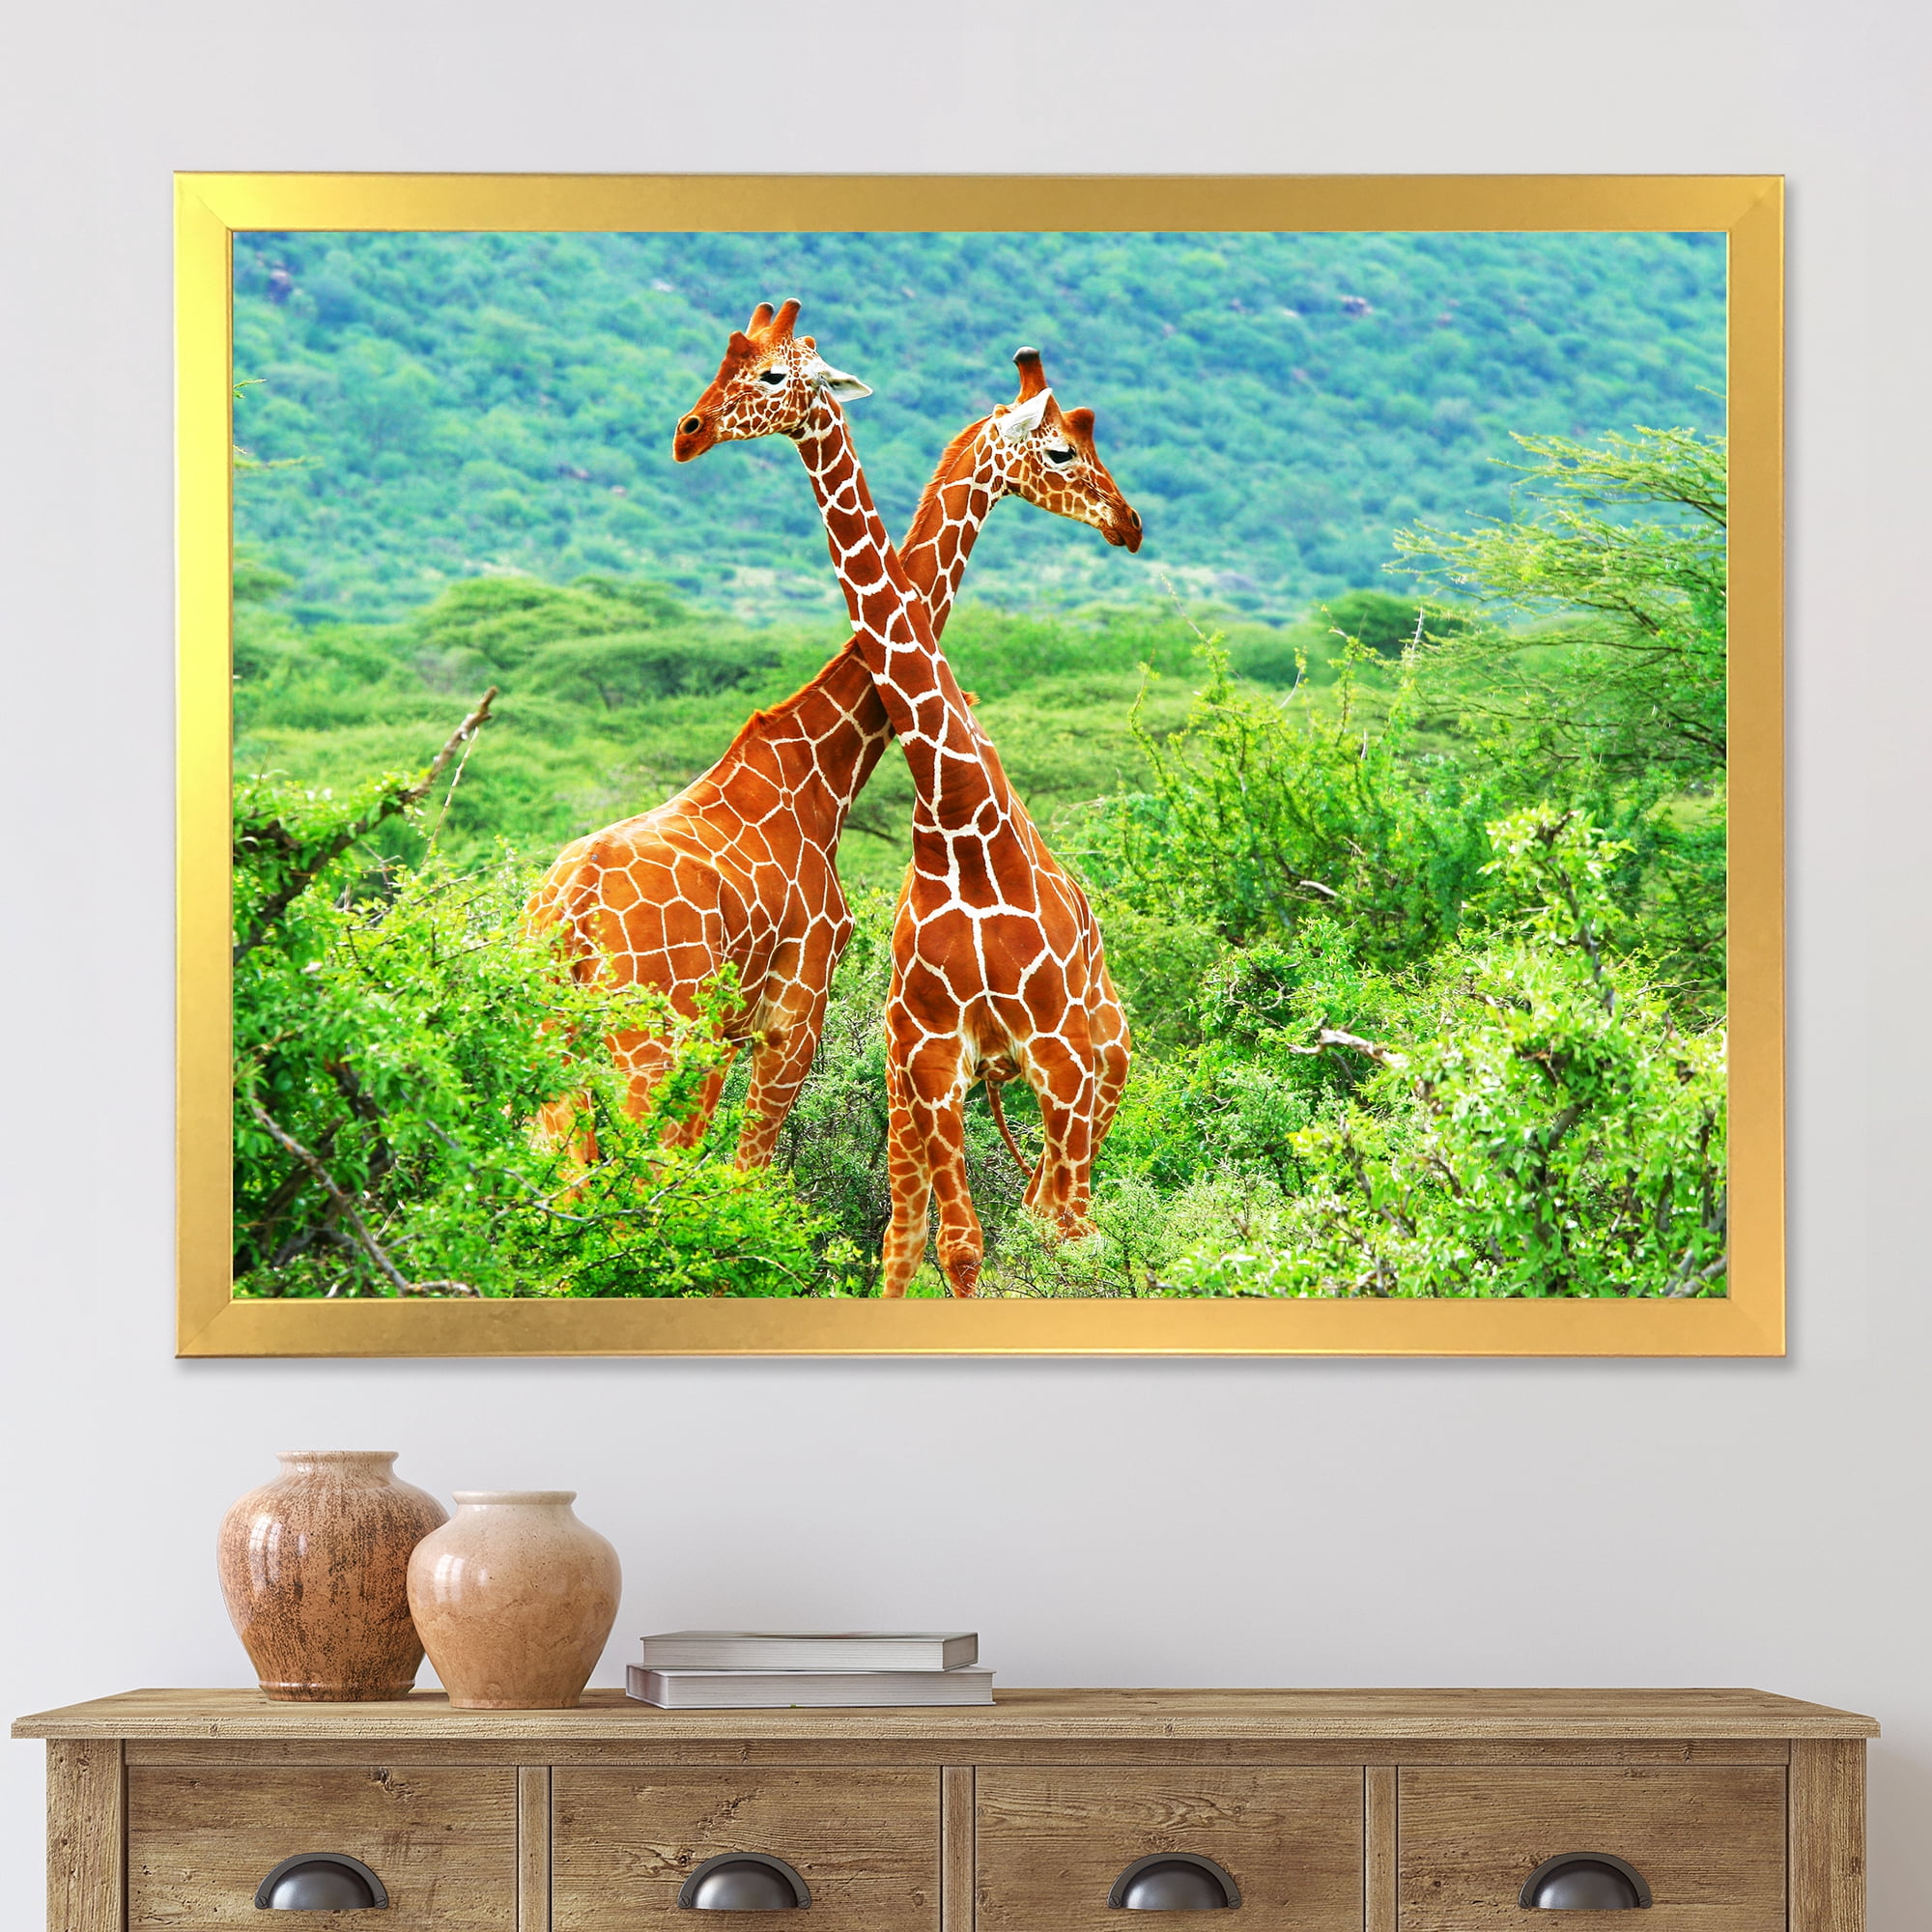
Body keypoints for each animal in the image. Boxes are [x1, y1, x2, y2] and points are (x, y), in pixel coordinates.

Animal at [528, 341, 1138, 1171]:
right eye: (1062, 450)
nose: (1127, 522)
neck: (823, 771)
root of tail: (572, 912)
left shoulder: (735, 1029)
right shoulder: (793, 1012)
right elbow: (742, 1175)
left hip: (554, 1039)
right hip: (647, 1038)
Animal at [674, 302, 1141, 1297]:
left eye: (773, 374)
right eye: (1063, 450)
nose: (1129, 524)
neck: (958, 818)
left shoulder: (1056, 1055)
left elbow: (1042, 1236)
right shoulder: (929, 1053)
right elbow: (952, 1244)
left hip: (1101, 1065)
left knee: (1069, 1220)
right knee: (936, 1223)